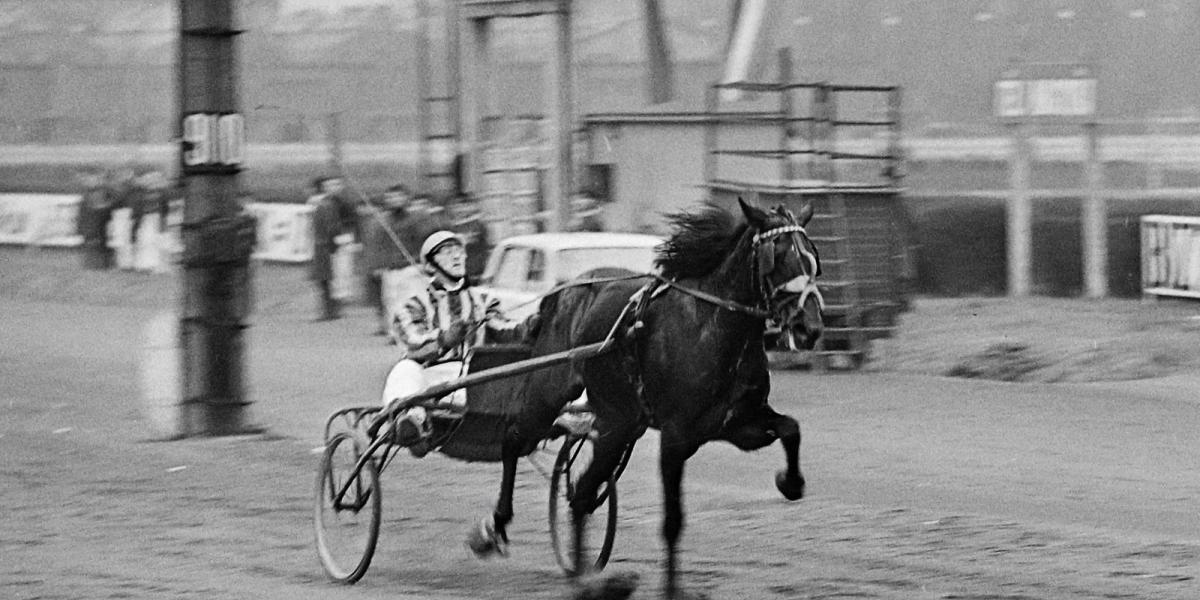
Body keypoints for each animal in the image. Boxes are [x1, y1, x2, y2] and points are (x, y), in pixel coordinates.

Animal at [477, 199, 825, 597]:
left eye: (812, 256)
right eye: (777, 257)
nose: (810, 328)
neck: (711, 325)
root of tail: (565, 289)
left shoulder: (738, 423)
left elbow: (791, 428)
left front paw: (790, 482)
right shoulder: (676, 437)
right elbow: (673, 520)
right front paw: (672, 589)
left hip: (619, 425)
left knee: (581, 495)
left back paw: (586, 579)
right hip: (553, 390)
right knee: (516, 438)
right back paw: (496, 528)